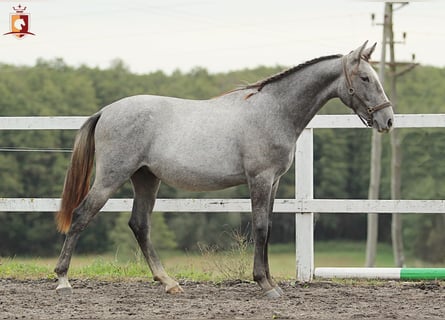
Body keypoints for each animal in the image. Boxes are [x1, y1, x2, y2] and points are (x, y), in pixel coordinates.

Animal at [54, 42, 392, 298]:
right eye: (365, 78)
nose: (387, 120)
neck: (274, 111)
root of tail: (106, 111)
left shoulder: (273, 183)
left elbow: (268, 226)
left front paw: (271, 281)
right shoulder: (260, 179)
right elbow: (260, 227)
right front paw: (265, 285)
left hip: (146, 179)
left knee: (140, 225)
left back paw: (168, 282)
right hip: (112, 177)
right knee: (82, 215)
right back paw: (63, 280)